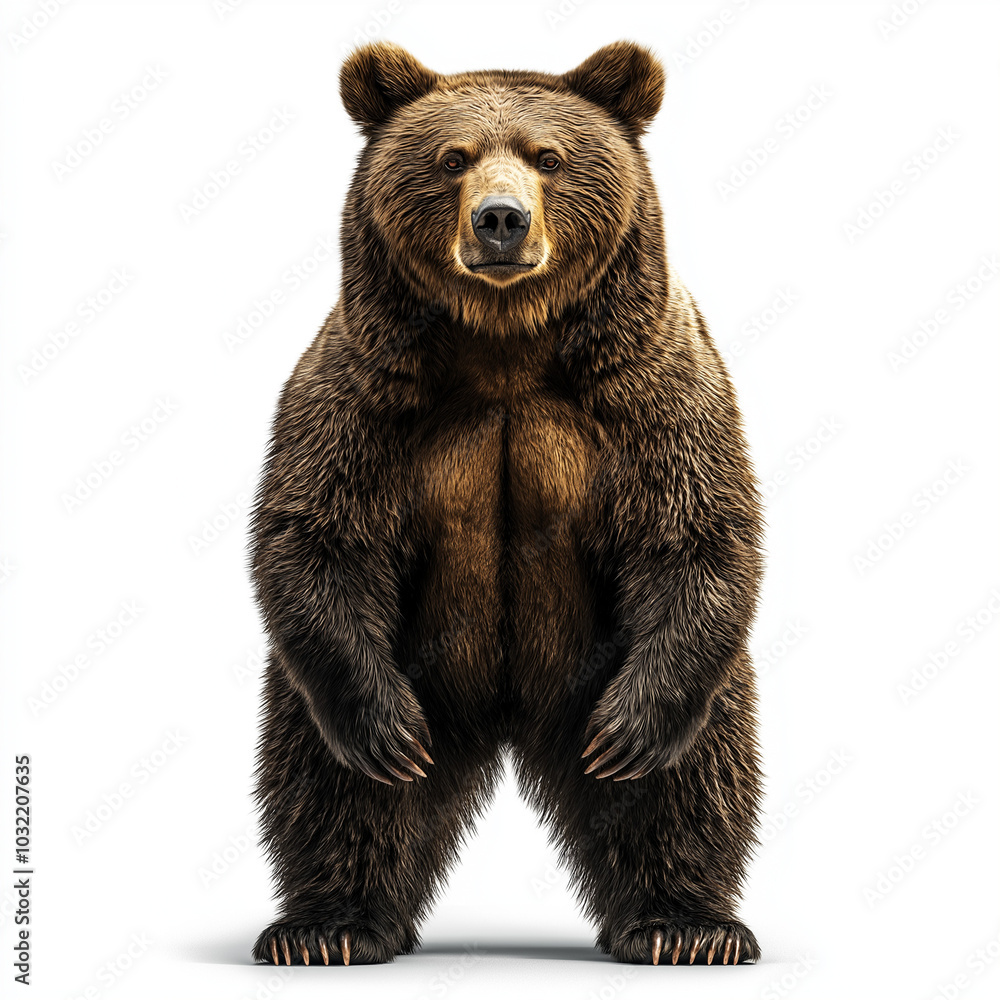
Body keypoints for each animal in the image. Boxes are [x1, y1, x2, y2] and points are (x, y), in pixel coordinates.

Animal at [250, 39, 764, 968]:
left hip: (605, 666)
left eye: (548, 157)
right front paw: (383, 737)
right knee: (322, 771)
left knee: (696, 768)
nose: (500, 220)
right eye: (452, 158)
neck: (505, 347)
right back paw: (328, 926)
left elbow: (694, 533)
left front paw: (633, 736)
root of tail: (507, 724)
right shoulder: (367, 390)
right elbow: (318, 537)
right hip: (411, 665)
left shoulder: (649, 388)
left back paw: (684, 924)